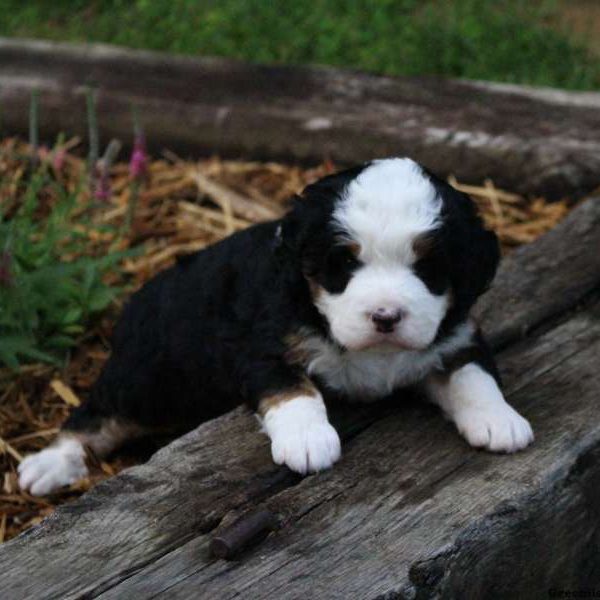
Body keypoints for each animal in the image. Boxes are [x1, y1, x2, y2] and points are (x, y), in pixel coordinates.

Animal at [19, 157, 536, 494]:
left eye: (428, 269)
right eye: (343, 266)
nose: (386, 317)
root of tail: (136, 302)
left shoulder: (455, 337)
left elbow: (473, 375)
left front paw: (499, 420)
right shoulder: (263, 345)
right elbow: (294, 391)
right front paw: (308, 441)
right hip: (150, 380)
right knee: (96, 417)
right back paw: (50, 464)